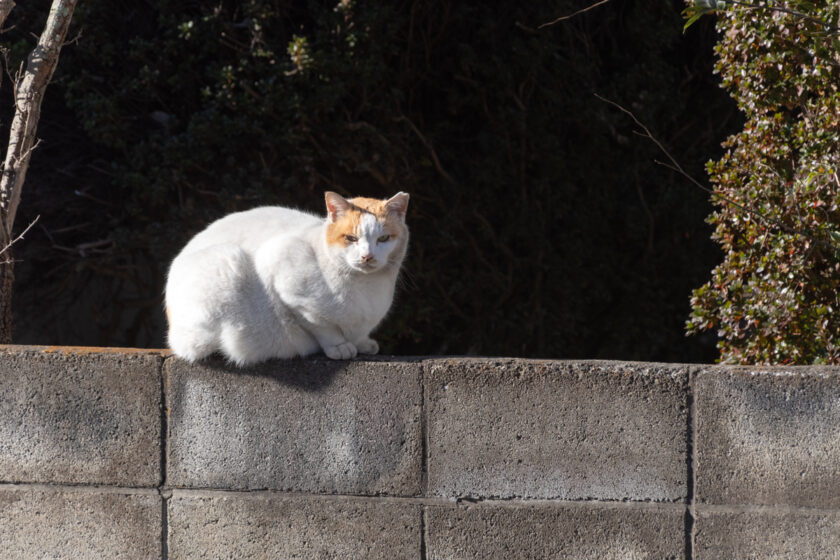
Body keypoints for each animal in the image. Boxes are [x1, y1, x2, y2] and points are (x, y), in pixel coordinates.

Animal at [163, 191, 406, 368]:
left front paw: (363, 343)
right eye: (351, 238)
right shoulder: (282, 273)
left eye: (384, 238)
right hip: (228, 260)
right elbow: (321, 326)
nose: (367, 256)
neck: (367, 286)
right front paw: (339, 346)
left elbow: (359, 334)